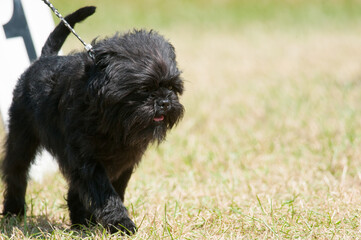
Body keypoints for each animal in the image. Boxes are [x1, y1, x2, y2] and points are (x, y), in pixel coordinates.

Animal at [1, 6, 183, 234]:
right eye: (144, 89)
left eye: (171, 86)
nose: (164, 101)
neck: (115, 123)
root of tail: (44, 58)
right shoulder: (88, 160)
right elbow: (105, 193)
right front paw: (121, 223)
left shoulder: (123, 160)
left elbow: (113, 189)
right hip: (22, 137)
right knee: (16, 172)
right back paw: (13, 212)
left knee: (74, 190)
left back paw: (81, 223)